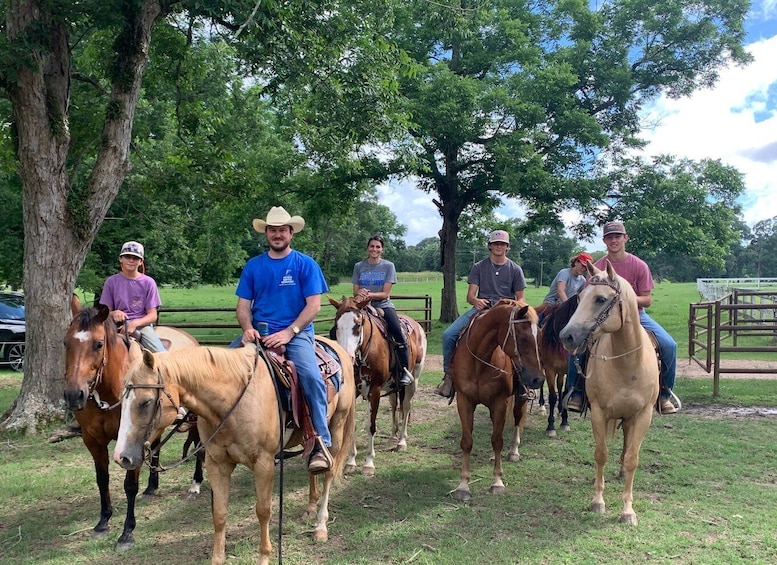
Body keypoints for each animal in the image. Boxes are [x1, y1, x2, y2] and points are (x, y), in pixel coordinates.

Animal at [63, 302, 202, 548]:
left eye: (99, 344)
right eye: (66, 343)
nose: (73, 395)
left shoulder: (132, 441)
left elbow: (129, 485)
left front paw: (127, 532)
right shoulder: (92, 440)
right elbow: (102, 479)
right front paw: (103, 522)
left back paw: (196, 484)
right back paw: (152, 487)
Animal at [113, 338, 356, 564]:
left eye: (145, 402)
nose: (121, 457)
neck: (233, 403)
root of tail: (337, 348)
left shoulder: (264, 464)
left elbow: (263, 510)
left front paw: (264, 556)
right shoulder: (217, 464)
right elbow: (219, 514)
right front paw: (217, 558)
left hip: (337, 426)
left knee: (328, 473)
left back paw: (321, 526)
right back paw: (310, 507)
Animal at [326, 296, 428, 476]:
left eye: (358, 325)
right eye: (336, 325)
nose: (346, 358)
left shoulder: (375, 390)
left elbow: (370, 426)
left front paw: (368, 464)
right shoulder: (355, 391)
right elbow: (352, 425)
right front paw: (351, 462)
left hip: (413, 380)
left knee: (406, 406)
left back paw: (401, 441)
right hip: (393, 385)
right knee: (395, 405)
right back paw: (393, 435)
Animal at [448, 302, 544, 500]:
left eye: (538, 337)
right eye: (523, 339)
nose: (538, 379)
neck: (480, 361)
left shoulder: (500, 402)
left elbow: (497, 440)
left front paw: (497, 481)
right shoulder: (464, 401)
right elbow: (467, 442)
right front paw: (463, 486)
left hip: (518, 400)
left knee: (517, 420)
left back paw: (513, 452)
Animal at [560, 260, 656, 524]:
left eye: (600, 299)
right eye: (580, 296)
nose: (566, 336)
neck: (627, 365)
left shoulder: (643, 415)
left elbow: (633, 458)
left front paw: (628, 510)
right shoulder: (598, 413)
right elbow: (600, 454)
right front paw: (597, 501)